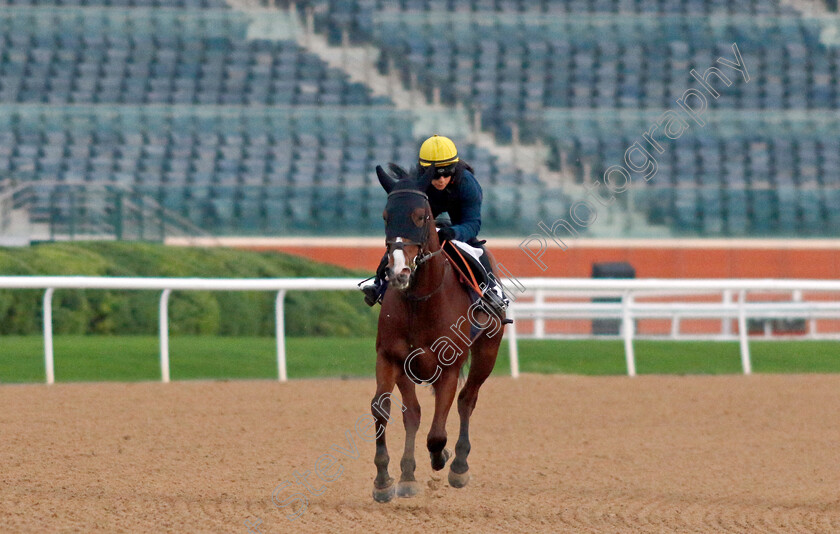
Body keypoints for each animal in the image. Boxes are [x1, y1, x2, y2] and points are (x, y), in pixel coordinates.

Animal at [370, 163, 506, 502]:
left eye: (422, 216)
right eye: (386, 216)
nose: (398, 271)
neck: (423, 300)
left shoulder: (449, 367)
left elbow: (436, 433)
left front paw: (443, 458)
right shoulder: (392, 358)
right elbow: (386, 409)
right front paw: (386, 479)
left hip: (488, 350)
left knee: (467, 399)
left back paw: (458, 464)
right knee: (414, 413)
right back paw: (409, 473)